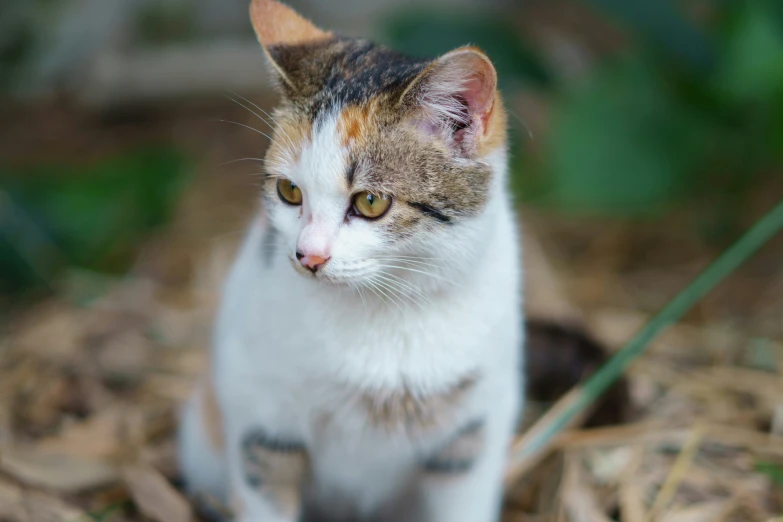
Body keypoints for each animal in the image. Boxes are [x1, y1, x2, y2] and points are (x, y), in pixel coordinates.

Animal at [178, 0, 528, 516]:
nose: (309, 255)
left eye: (370, 202)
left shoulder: (474, 432)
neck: (383, 314)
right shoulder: (260, 421)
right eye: (289, 191)